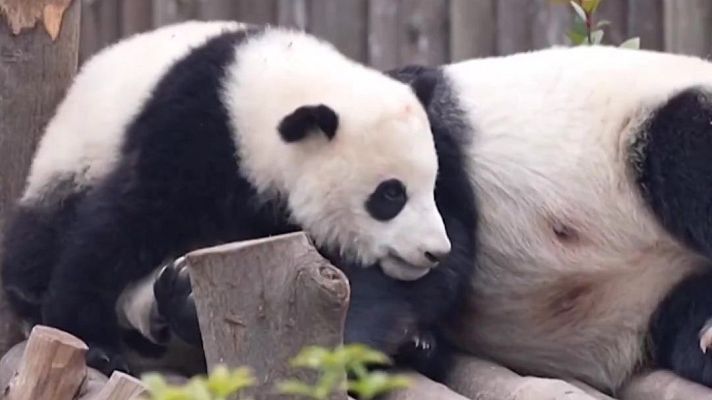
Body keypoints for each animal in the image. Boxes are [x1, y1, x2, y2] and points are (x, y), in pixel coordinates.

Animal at [1, 20, 474, 377]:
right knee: (43, 232)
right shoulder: (195, 131)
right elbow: (124, 223)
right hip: (73, 158)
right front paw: (90, 338)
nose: (433, 251)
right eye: (391, 194)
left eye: (428, 185)